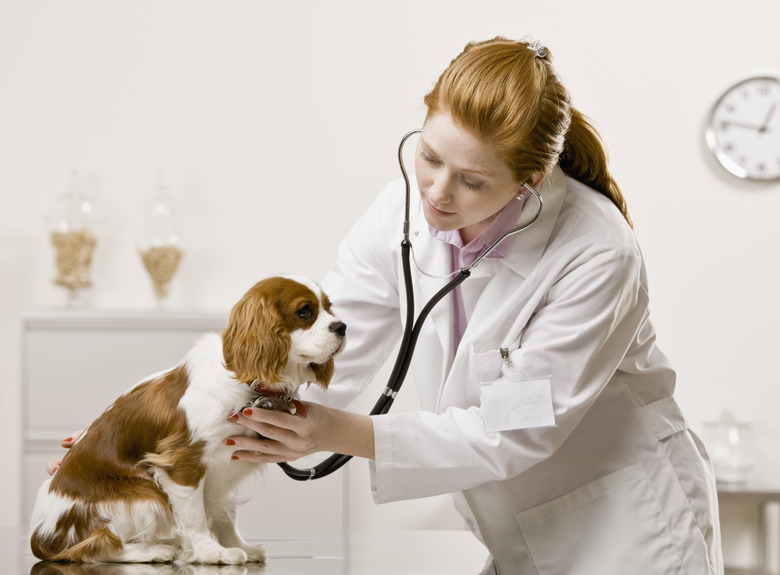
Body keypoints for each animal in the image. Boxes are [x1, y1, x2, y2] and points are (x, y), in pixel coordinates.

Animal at [29, 276, 344, 564]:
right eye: (305, 311)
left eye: (330, 308)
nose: (342, 327)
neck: (248, 381)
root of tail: (41, 534)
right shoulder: (183, 461)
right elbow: (195, 518)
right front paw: (212, 552)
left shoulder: (228, 466)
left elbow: (225, 514)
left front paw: (237, 545)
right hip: (144, 495)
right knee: (97, 546)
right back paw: (154, 550)